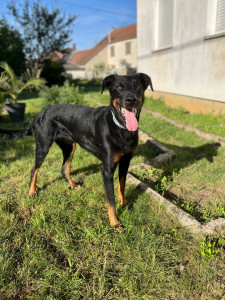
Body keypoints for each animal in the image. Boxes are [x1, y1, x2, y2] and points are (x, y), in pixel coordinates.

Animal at [0, 74, 153, 229]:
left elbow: (122, 185)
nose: (131, 100)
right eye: (119, 87)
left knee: (64, 168)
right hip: (43, 146)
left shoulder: (125, 161)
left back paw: (72, 185)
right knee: (34, 170)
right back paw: (32, 192)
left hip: (69, 146)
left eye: (137, 86)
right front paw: (115, 223)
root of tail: (41, 113)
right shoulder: (107, 168)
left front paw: (125, 203)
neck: (121, 128)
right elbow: (111, 200)